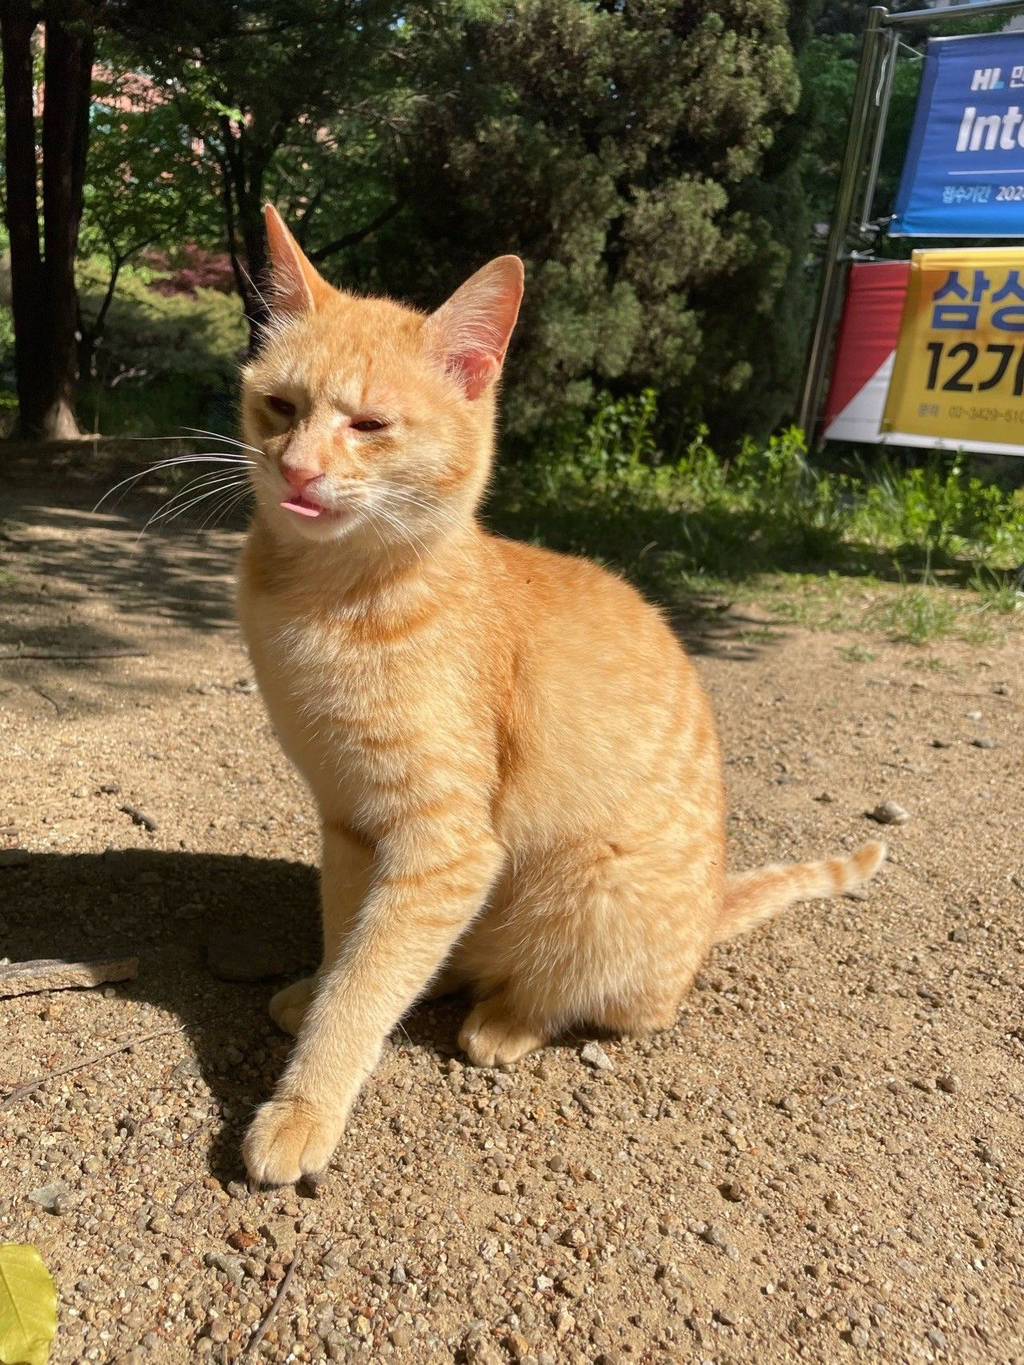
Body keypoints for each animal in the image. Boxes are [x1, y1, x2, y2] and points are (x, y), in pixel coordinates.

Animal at [236, 202, 884, 1184]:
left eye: (371, 423)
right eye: (281, 406)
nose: (299, 470)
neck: (325, 604)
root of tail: (708, 916)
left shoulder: (446, 849)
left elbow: (366, 984)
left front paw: (305, 1102)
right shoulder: (350, 824)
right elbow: (352, 943)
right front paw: (318, 990)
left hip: (589, 899)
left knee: (601, 1003)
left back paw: (504, 1020)